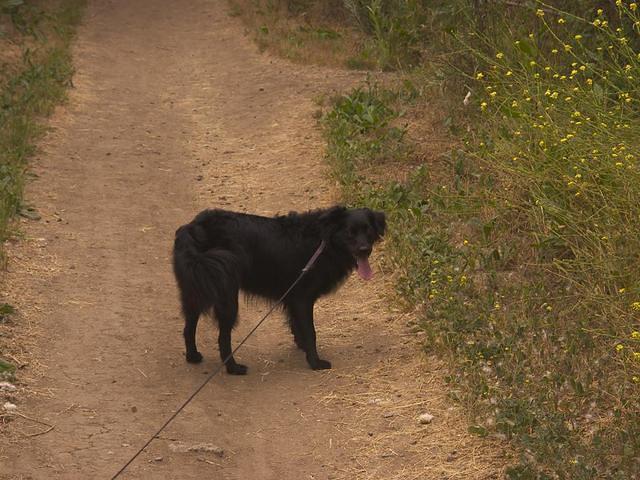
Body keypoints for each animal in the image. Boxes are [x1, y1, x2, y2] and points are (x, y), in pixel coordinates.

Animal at [171, 206, 384, 376]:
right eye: (350, 232)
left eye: (368, 230)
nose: (365, 250)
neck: (323, 241)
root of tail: (194, 227)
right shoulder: (302, 298)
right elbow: (311, 331)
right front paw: (315, 362)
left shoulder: (293, 299)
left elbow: (298, 327)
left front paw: (302, 347)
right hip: (226, 297)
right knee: (223, 337)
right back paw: (234, 368)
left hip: (195, 290)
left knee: (188, 327)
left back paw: (193, 356)